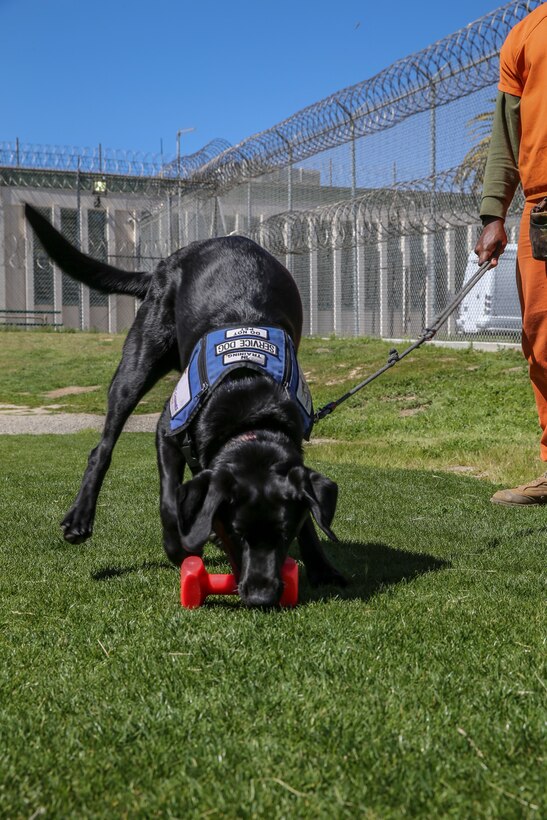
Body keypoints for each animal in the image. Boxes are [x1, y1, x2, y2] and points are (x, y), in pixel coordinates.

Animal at [25, 203, 346, 604]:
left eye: (282, 535)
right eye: (237, 532)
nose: (260, 596)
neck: (250, 410)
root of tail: (167, 262)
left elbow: (308, 520)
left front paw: (322, 567)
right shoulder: (166, 429)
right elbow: (168, 500)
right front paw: (178, 546)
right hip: (138, 362)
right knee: (103, 447)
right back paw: (80, 518)